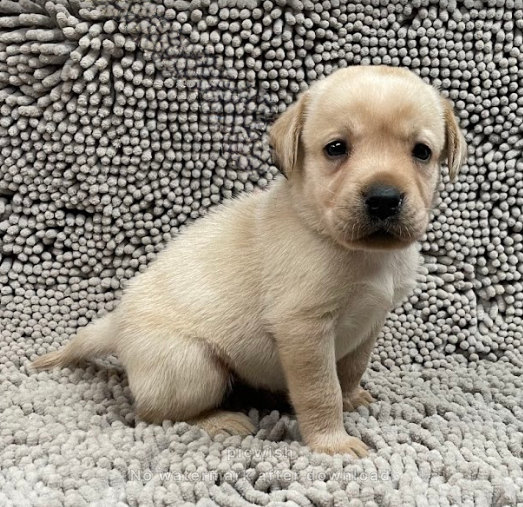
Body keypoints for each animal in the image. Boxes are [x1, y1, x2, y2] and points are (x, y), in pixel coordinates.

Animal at [32, 66, 467, 458]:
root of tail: (117, 324)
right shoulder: (304, 330)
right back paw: (218, 419)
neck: (357, 252)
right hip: (194, 367)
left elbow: (350, 370)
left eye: (422, 152)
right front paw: (333, 442)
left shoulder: (371, 322)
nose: (383, 199)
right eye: (336, 148)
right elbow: (321, 391)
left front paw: (352, 397)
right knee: (153, 413)